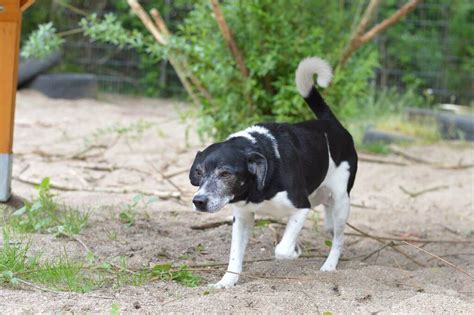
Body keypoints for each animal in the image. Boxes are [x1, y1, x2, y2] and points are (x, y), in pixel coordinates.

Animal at [189, 56, 356, 288]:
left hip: (341, 202)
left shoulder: (301, 207)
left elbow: (282, 249)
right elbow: (235, 255)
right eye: (199, 172)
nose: (199, 201)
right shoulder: (242, 217)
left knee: (339, 238)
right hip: (323, 199)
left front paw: (294, 251)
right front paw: (226, 281)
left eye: (226, 174)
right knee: (329, 225)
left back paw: (329, 265)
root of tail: (331, 123)